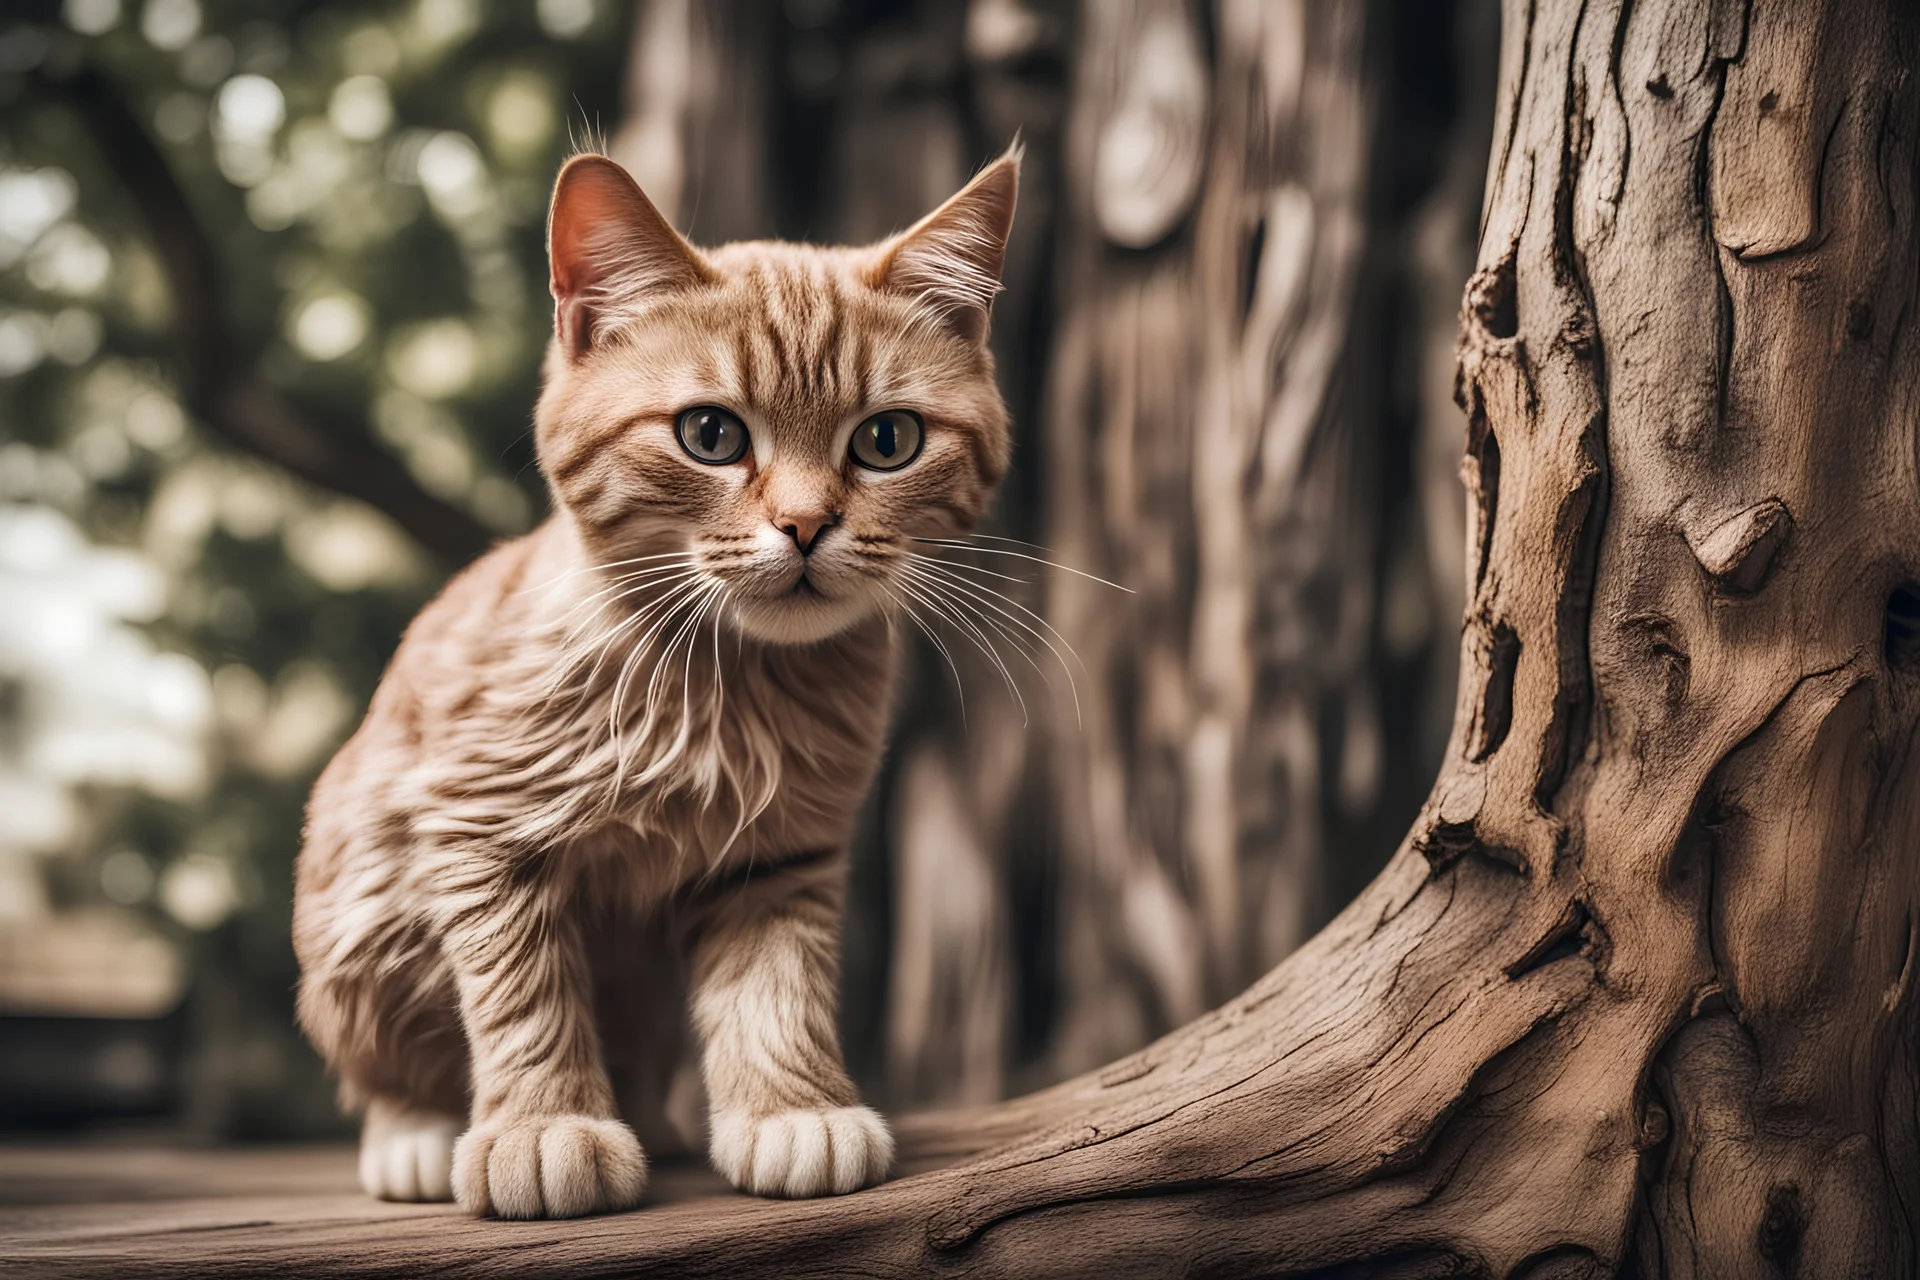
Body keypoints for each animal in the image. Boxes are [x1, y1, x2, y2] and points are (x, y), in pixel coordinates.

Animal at [291, 144, 1013, 1220]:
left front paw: (791, 1109)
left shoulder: (777, 857)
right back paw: (417, 1135)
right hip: (360, 898)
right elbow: (522, 991)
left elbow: (776, 988)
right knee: (386, 1062)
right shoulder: (478, 828)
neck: (723, 683)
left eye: (888, 441)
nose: (806, 525)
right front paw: (544, 1125)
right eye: (711, 434)